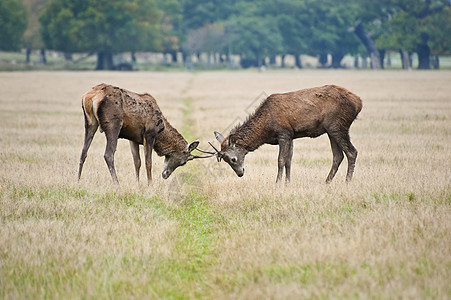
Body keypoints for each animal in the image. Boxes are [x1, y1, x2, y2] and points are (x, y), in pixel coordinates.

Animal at [78, 83, 214, 184]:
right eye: (184, 162)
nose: (165, 175)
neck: (161, 131)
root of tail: (90, 97)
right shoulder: (149, 134)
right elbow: (148, 162)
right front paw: (150, 185)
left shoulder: (132, 138)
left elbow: (137, 162)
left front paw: (137, 184)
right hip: (113, 124)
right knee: (108, 154)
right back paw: (117, 184)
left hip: (90, 122)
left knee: (83, 152)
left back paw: (78, 181)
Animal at [211, 84, 364, 183]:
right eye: (226, 160)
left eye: (232, 159)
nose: (240, 173)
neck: (266, 128)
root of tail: (359, 103)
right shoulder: (291, 135)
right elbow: (289, 160)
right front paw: (287, 182)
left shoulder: (283, 133)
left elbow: (280, 160)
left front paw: (278, 182)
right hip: (331, 130)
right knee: (338, 156)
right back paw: (327, 181)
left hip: (338, 126)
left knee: (352, 152)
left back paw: (347, 181)